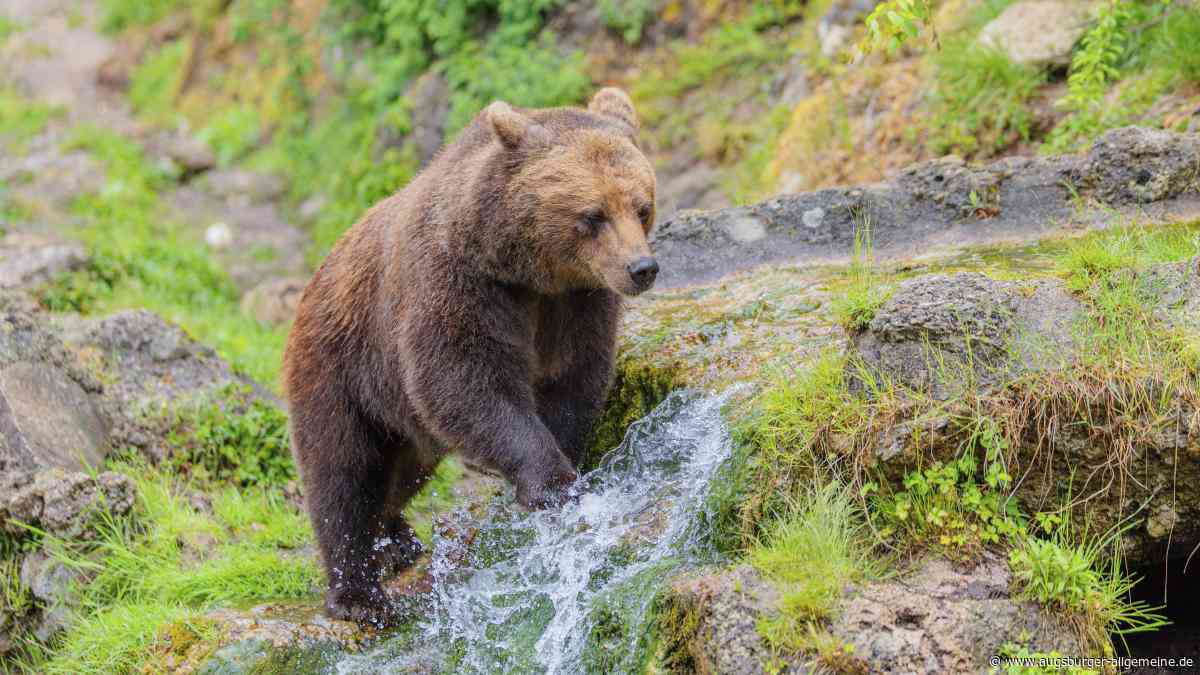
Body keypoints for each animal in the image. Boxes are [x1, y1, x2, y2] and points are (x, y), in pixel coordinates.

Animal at [282, 87, 658, 626]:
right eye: (593, 215)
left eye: (642, 207)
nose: (641, 268)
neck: (524, 270)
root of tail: (314, 280)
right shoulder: (455, 284)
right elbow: (462, 381)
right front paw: (550, 480)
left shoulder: (577, 302)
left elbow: (573, 378)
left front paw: (567, 462)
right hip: (341, 364)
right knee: (342, 472)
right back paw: (357, 593)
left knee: (402, 472)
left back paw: (397, 540)